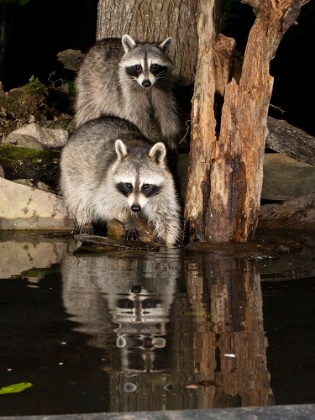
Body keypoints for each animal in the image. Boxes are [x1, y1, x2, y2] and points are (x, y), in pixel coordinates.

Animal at [60, 116, 181, 244]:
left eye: (146, 186)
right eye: (128, 185)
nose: (135, 208)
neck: (139, 149)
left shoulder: (166, 184)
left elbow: (165, 213)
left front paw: (169, 240)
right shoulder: (107, 181)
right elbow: (106, 204)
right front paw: (127, 217)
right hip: (72, 168)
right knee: (80, 196)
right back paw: (85, 221)